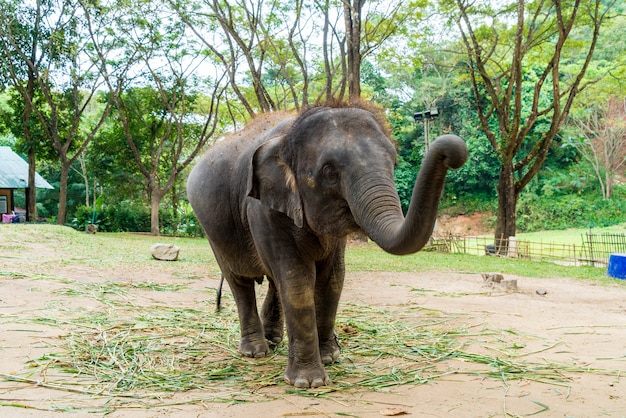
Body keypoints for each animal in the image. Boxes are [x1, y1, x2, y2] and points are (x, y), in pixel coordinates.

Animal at [185, 103, 464, 388]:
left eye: (393, 162)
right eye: (329, 171)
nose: (452, 151)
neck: (290, 133)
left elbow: (333, 279)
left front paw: (331, 356)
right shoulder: (262, 209)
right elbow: (297, 281)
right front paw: (308, 382)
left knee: (273, 282)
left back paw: (274, 342)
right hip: (213, 230)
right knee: (239, 281)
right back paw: (256, 352)